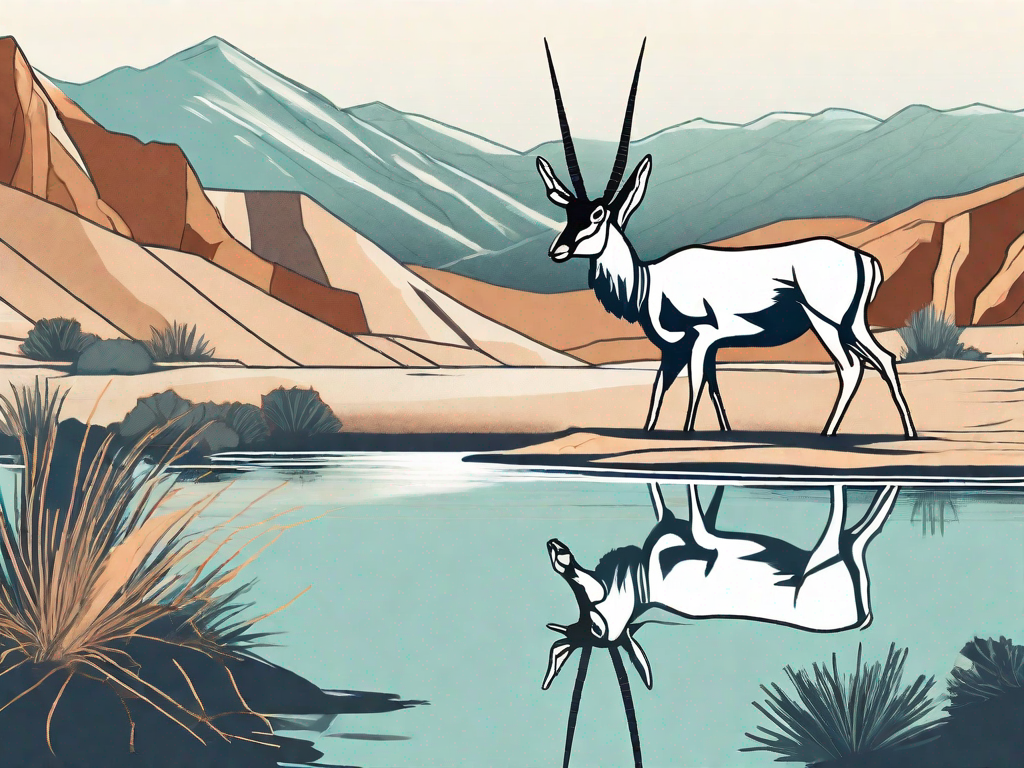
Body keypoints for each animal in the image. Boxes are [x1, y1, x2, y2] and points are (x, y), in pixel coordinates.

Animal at [537, 39, 916, 438]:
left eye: (598, 215)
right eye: (568, 212)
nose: (558, 249)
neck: (649, 281)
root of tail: (862, 257)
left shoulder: (701, 340)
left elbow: (694, 388)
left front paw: (689, 435)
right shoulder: (678, 351)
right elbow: (678, 393)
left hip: (827, 324)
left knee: (852, 367)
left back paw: (830, 434)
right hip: (851, 325)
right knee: (884, 360)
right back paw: (907, 432)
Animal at [542, 482, 901, 768]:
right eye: (595, 631)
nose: (558, 549)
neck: (643, 587)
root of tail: (860, 614)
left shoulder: (681, 536)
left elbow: (682, 506)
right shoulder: (687, 540)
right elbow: (690, 512)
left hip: (829, 565)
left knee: (851, 526)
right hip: (827, 567)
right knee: (848, 527)